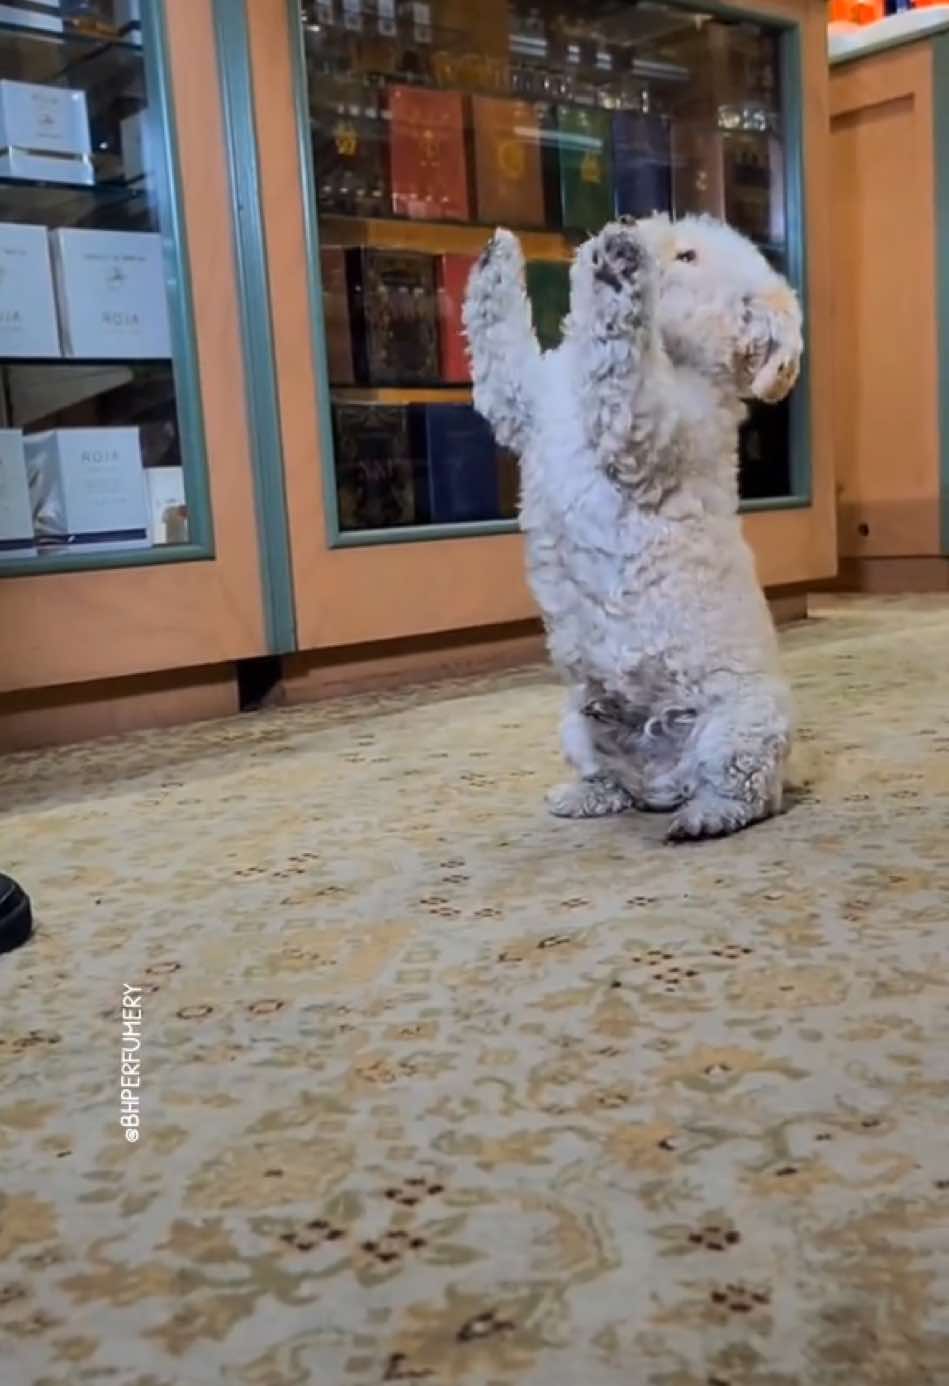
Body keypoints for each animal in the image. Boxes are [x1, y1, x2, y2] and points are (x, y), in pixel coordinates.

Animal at [463, 214, 803, 841]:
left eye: (687, 256)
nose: (625, 225)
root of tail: (664, 783)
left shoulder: (645, 427)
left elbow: (621, 355)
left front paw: (620, 273)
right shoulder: (526, 403)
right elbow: (501, 344)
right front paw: (496, 255)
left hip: (744, 725)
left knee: (750, 791)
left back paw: (707, 817)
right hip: (576, 723)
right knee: (614, 781)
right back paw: (589, 795)